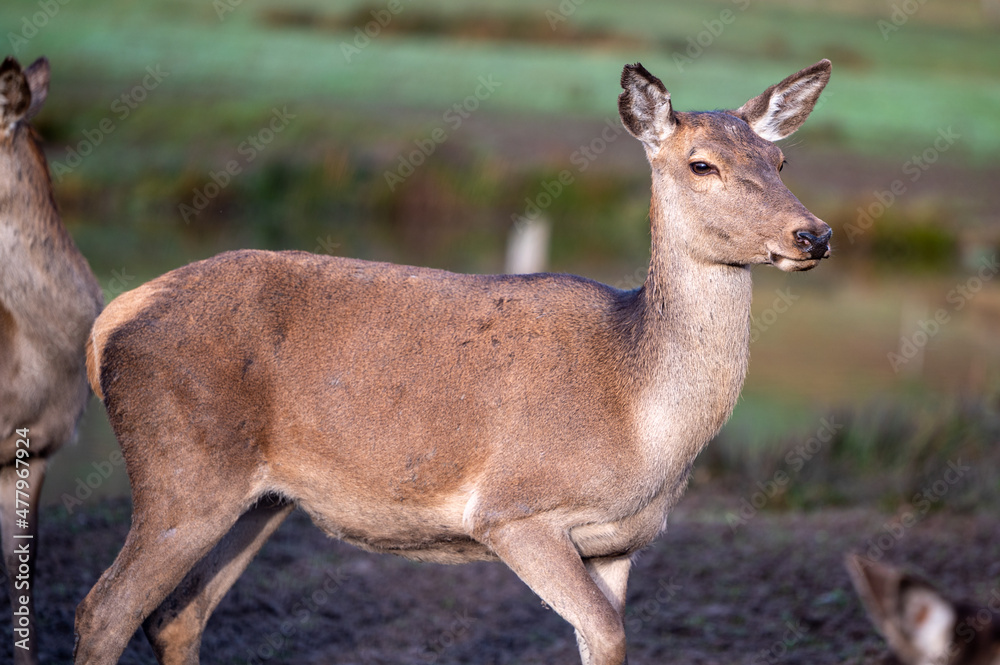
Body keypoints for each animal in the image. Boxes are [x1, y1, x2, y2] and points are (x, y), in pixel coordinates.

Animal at [74, 59, 832, 660]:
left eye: (781, 162)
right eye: (701, 163)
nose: (814, 233)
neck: (641, 418)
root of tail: (107, 323)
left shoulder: (620, 543)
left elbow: (606, 637)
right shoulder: (514, 511)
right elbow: (606, 632)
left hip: (260, 499)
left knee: (177, 616)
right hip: (182, 472)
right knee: (103, 609)